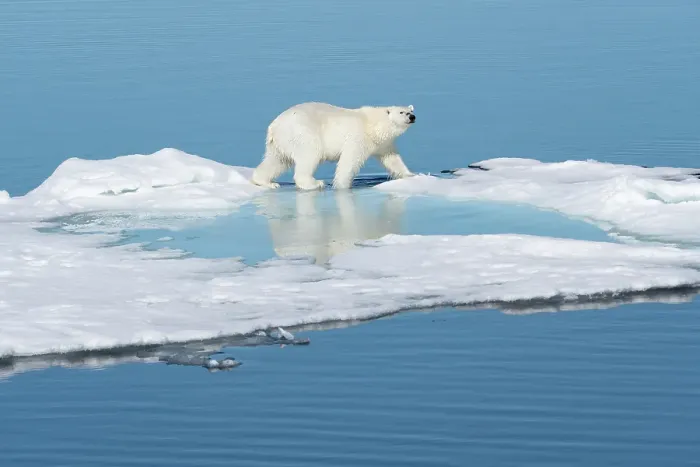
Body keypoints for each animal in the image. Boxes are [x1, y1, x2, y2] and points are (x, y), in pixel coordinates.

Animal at [250, 102, 416, 190]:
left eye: (410, 110)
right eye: (401, 112)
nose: (412, 117)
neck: (373, 124)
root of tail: (273, 126)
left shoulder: (382, 144)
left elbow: (392, 159)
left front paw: (411, 175)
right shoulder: (358, 137)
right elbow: (349, 161)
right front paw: (342, 186)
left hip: (281, 142)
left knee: (277, 160)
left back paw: (267, 182)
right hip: (303, 133)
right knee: (310, 156)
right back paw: (315, 183)